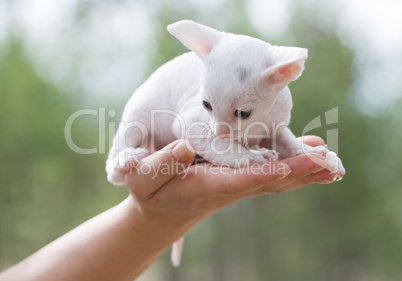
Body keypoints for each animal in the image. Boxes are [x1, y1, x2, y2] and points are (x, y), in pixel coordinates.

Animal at [106, 20, 346, 266]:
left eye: (243, 113)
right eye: (206, 105)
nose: (219, 132)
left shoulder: (275, 127)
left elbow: (287, 143)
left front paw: (315, 154)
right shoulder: (190, 123)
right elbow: (219, 145)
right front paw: (252, 156)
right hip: (137, 117)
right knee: (115, 166)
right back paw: (126, 158)